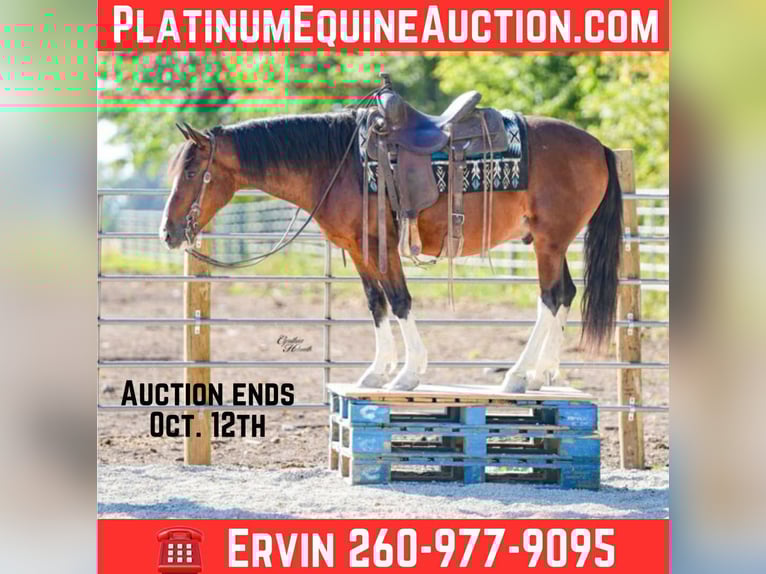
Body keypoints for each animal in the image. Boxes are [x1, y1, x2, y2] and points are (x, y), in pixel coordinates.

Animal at [160, 109, 622, 393]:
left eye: (191, 171)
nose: (167, 232)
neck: (337, 164)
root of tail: (599, 146)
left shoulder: (381, 245)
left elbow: (400, 301)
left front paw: (408, 374)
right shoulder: (359, 249)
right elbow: (377, 303)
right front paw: (376, 372)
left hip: (549, 242)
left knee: (550, 297)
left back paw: (518, 376)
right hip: (553, 243)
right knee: (565, 294)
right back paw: (543, 374)